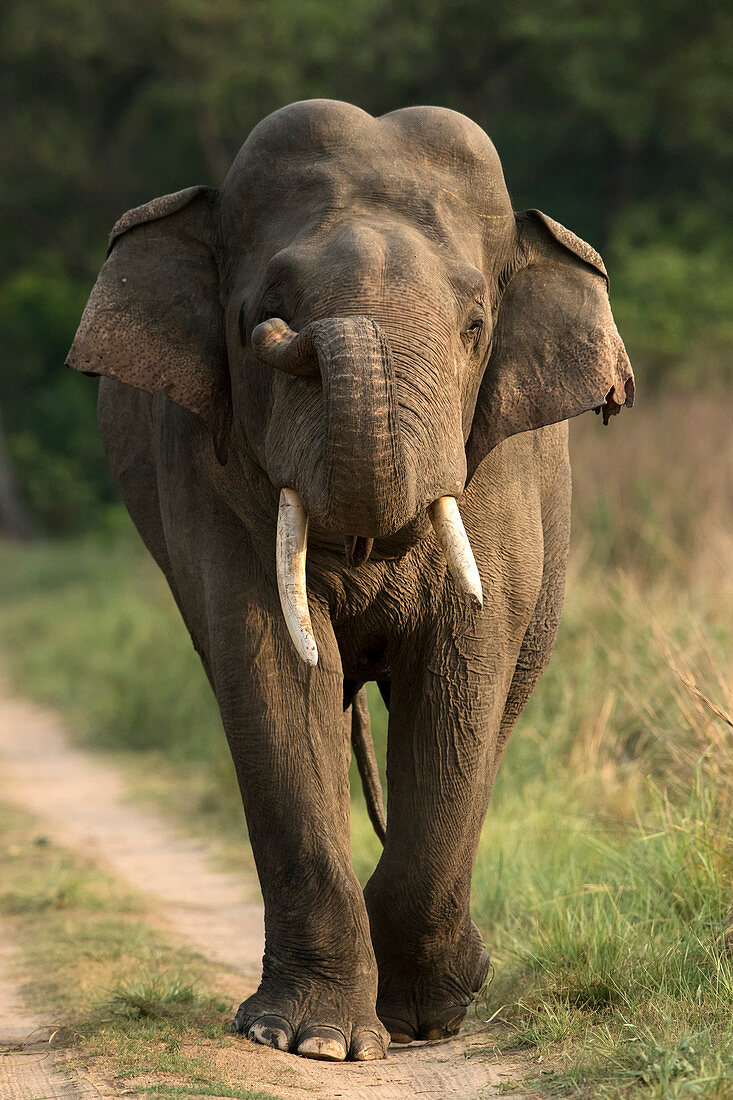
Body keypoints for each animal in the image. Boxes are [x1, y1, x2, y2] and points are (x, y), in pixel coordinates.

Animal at [65, 99, 629, 1060]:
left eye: (473, 326)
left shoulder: (496, 469)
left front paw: (422, 1021)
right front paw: (313, 1042)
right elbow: (271, 674)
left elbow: (459, 676)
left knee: (496, 705)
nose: (276, 339)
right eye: (263, 310)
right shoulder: (208, 471)